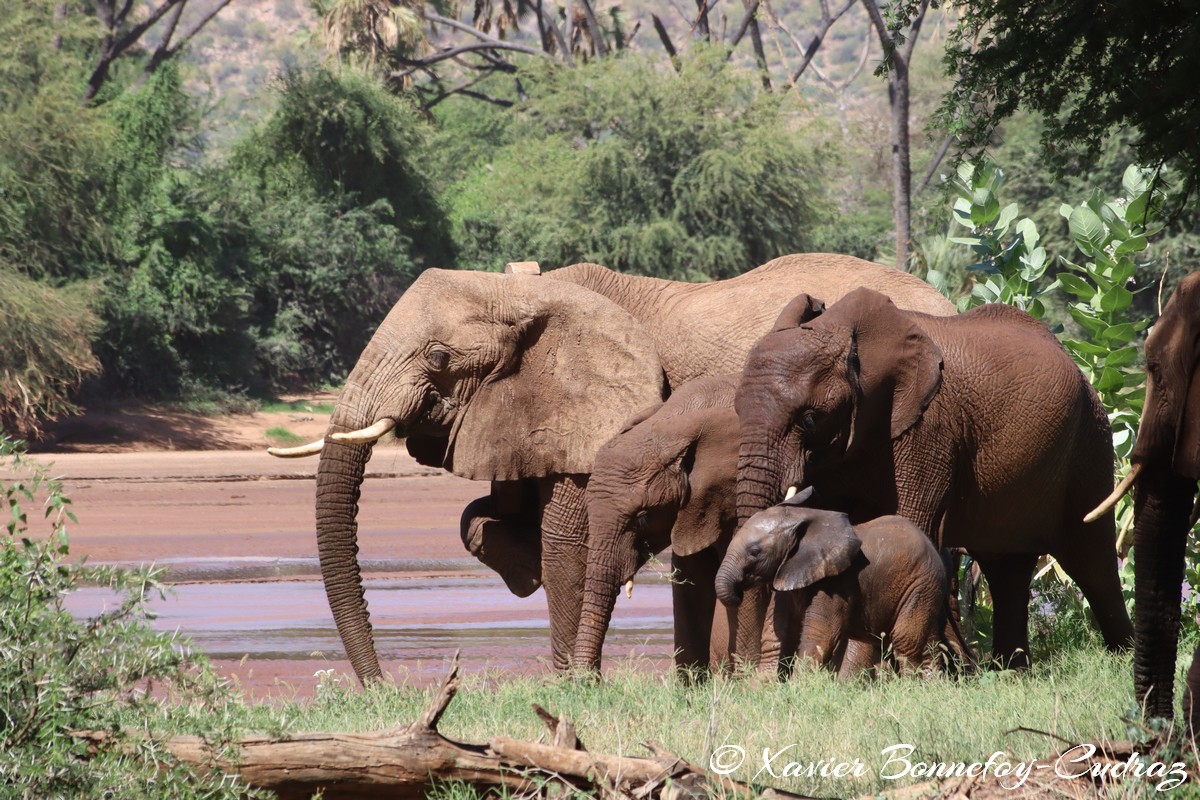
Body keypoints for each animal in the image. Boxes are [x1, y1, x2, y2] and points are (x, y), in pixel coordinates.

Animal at [715, 491, 969, 681]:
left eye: (754, 552)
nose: (738, 593)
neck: (806, 518)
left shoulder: (835, 584)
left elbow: (820, 636)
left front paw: (798, 689)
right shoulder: (788, 570)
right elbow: (778, 634)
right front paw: (760, 690)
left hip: (922, 583)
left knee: (906, 641)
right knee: (921, 643)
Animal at [729, 287, 1132, 671]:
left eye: (810, 419)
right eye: (736, 410)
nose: (746, 677)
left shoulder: (928, 427)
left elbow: (907, 522)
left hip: (1091, 442)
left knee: (1092, 561)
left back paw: (1122, 659)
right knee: (1007, 569)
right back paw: (1011, 672)